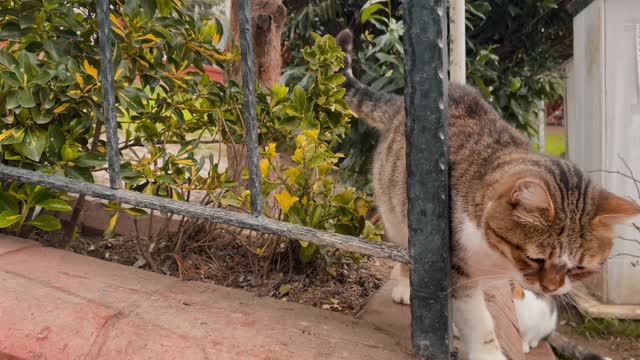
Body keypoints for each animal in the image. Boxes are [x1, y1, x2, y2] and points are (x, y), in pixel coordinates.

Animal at [336, 28, 640, 360]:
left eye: (579, 268)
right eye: (535, 258)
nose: (550, 289)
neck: (497, 257)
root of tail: (399, 103)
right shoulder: (454, 265)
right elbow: (477, 320)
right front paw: (485, 350)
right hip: (396, 211)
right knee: (403, 246)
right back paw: (405, 286)